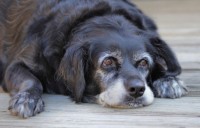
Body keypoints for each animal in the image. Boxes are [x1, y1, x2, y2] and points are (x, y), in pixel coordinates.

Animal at [0, 0, 188, 118]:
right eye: (108, 61)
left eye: (144, 62)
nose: (137, 89)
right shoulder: (16, 65)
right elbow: (31, 80)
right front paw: (27, 98)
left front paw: (168, 80)